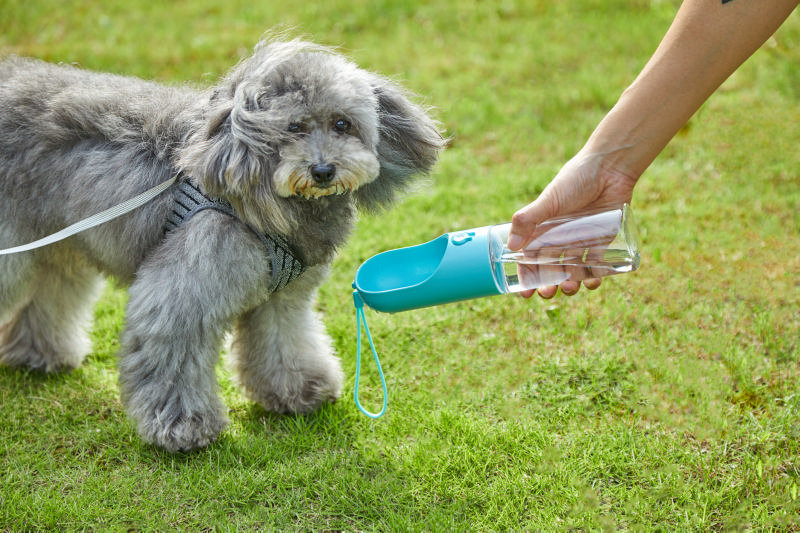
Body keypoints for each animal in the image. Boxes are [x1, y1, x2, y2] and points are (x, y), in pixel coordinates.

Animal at [0, 39, 444, 450]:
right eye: (292, 128)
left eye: (342, 124)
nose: (322, 171)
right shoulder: (181, 295)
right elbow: (172, 359)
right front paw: (182, 428)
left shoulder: (283, 298)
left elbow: (284, 341)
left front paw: (300, 391)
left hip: (58, 244)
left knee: (51, 291)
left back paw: (39, 355)